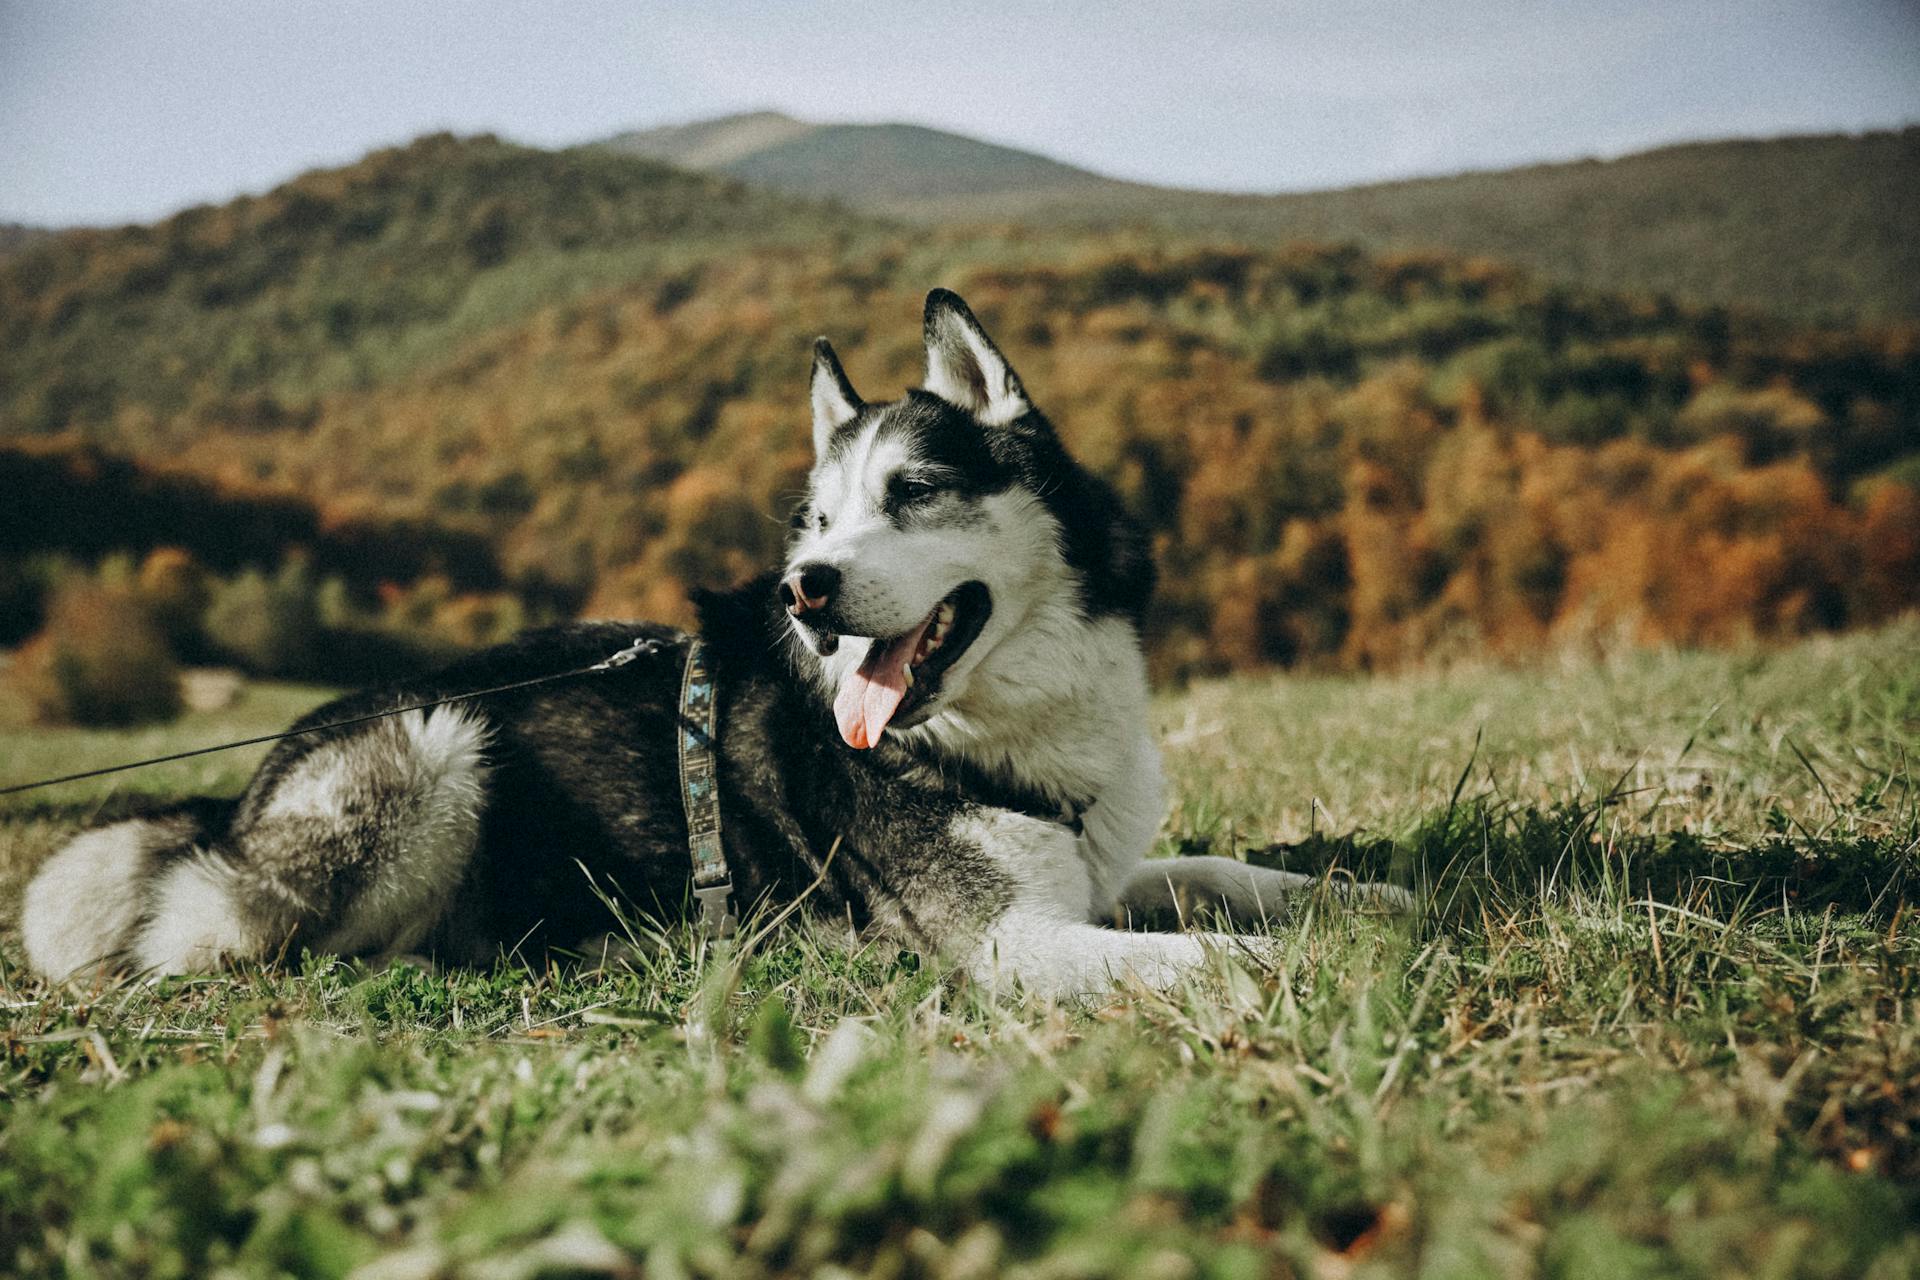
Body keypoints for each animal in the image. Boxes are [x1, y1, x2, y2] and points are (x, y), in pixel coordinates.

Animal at [18, 293, 1413, 997]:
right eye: (818, 520)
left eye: (911, 492)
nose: (806, 589)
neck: (1004, 726)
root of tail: (238, 796)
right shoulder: (1009, 942)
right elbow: (1207, 951)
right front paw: (1325, 962)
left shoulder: (1094, 870)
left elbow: (1225, 872)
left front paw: (1364, 899)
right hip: (433, 744)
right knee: (236, 939)